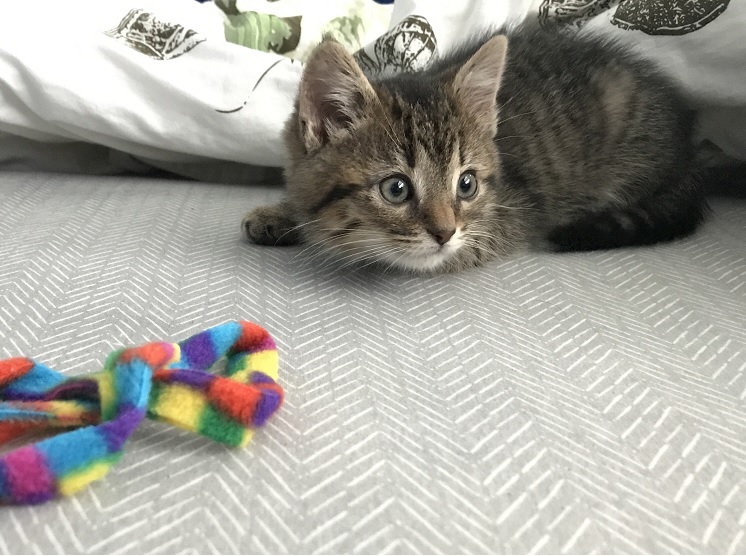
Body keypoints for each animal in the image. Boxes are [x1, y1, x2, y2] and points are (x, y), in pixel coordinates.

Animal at [241, 22, 708, 274]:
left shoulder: (515, 216)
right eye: (396, 189)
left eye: (466, 185)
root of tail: (691, 147)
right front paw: (281, 213)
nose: (446, 232)